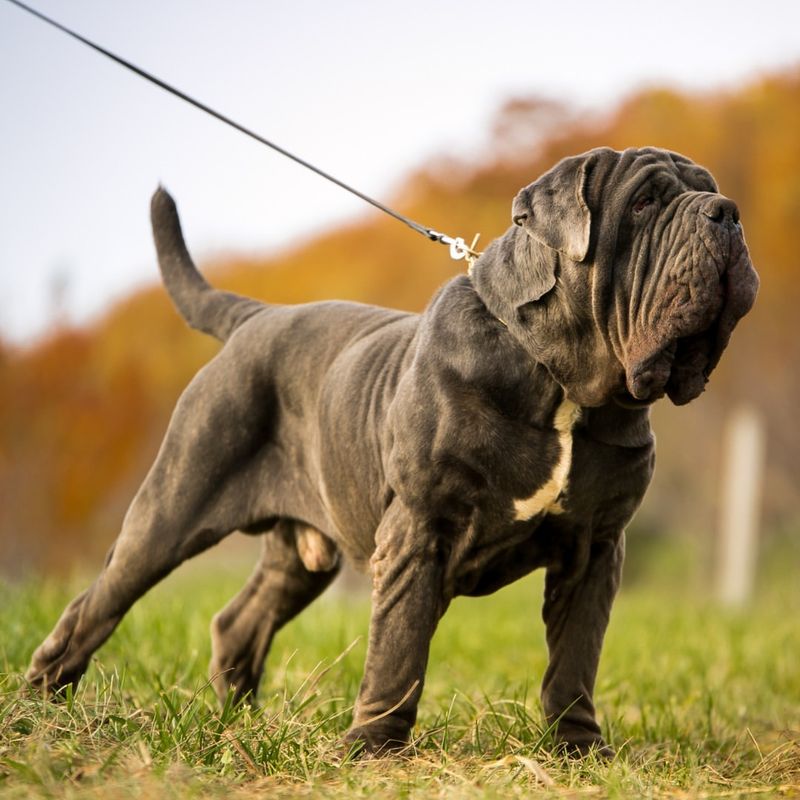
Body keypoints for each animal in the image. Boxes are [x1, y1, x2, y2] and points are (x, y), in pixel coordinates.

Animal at [28, 148, 760, 756]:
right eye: (646, 202)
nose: (727, 212)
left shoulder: (596, 548)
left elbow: (575, 659)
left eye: (708, 191)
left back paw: (243, 725)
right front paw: (374, 747)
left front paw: (578, 750)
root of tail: (255, 317)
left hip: (301, 553)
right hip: (172, 507)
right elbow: (400, 647)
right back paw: (42, 705)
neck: (560, 381)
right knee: (98, 604)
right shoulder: (419, 530)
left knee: (239, 622)